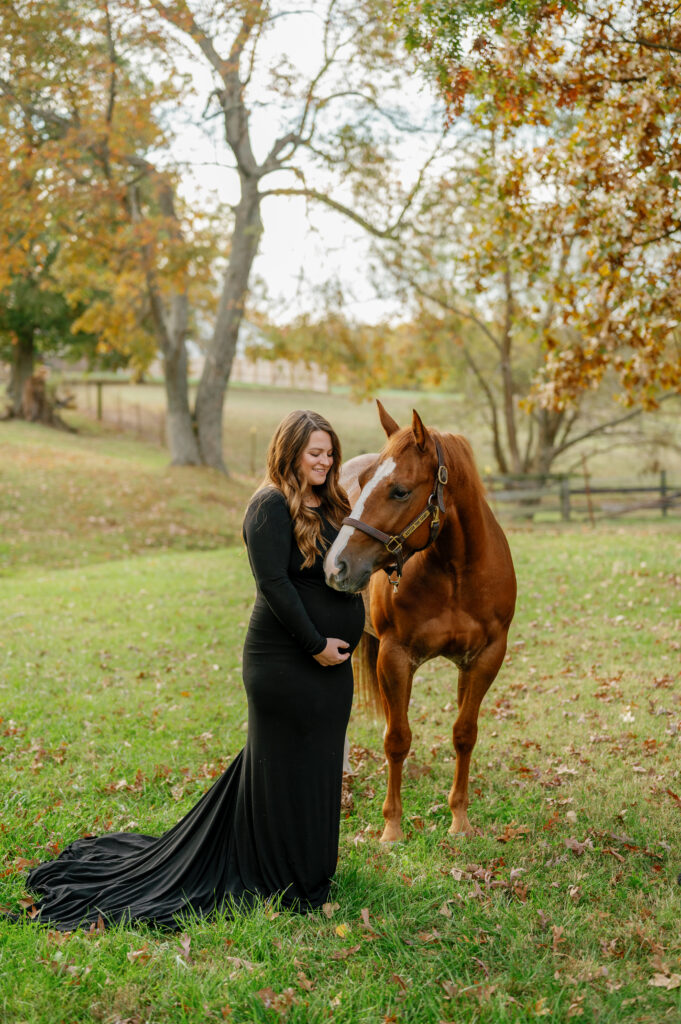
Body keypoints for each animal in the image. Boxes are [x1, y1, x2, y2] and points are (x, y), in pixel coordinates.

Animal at [325, 399, 516, 839]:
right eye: (365, 481)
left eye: (400, 490)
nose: (336, 565)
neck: (456, 574)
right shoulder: (395, 657)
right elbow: (397, 738)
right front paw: (392, 829)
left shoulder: (484, 659)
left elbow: (464, 733)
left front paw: (460, 819)